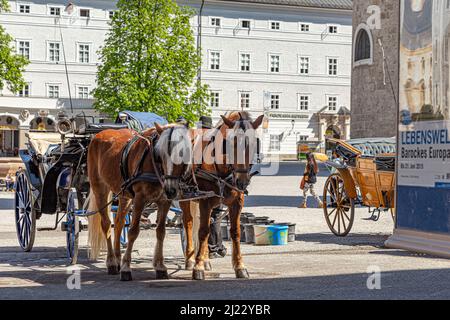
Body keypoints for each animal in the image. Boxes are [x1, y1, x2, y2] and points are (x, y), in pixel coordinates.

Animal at [87, 122, 192, 280]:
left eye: (183, 152)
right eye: (161, 154)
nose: (171, 190)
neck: (154, 165)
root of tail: (98, 134)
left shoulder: (164, 201)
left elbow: (161, 232)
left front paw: (160, 266)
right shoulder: (140, 198)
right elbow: (133, 231)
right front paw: (126, 268)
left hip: (124, 194)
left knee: (119, 223)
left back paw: (117, 258)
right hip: (100, 188)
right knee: (106, 224)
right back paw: (112, 262)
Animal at [179, 112, 264, 280]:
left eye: (253, 143)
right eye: (231, 143)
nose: (242, 181)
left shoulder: (237, 202)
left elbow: (235, 232)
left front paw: (239, 266)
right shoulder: (205, 201)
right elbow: (203, 231)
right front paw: (197, 267)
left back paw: (205, 259)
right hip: (186, 197)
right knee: (189, 223)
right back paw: (191, 259)